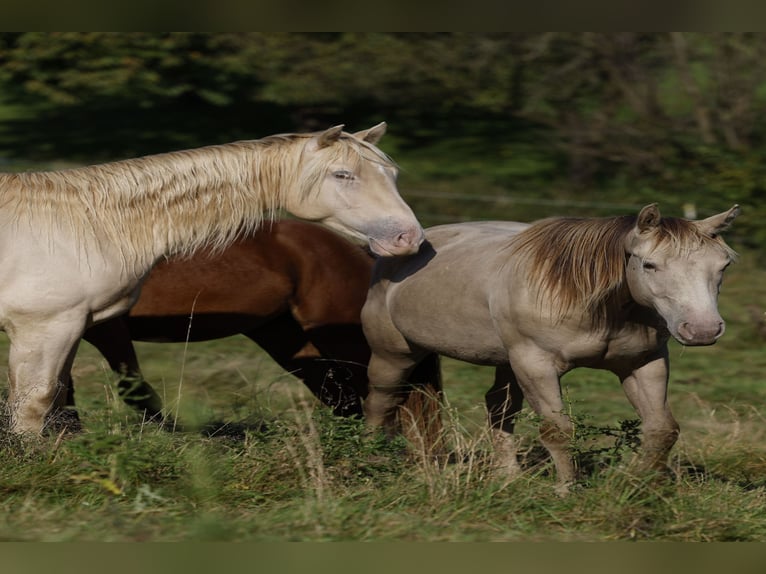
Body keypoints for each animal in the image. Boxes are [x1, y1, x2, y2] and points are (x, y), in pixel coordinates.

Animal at [78, 220, 440, 432]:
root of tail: (354, 250)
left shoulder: (106, 329)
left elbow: (134, 390)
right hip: (289, 343)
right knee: (342, 395)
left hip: (344, 340)